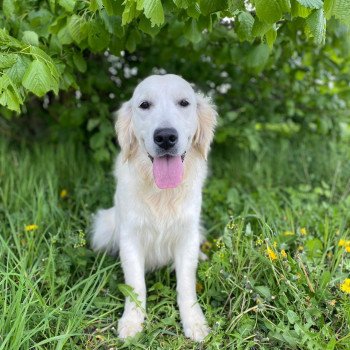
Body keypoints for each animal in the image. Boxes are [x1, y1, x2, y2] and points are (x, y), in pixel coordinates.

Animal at [91, 74, 216, 342]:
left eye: (184, 102)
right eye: (144, 105)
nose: (166, 137)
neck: (162, 193)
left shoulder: (187, 234)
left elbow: (186, 284)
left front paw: (194, 321)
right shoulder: (130, 238)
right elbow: (136, 285)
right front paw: (132, 321)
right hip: (106, 224)